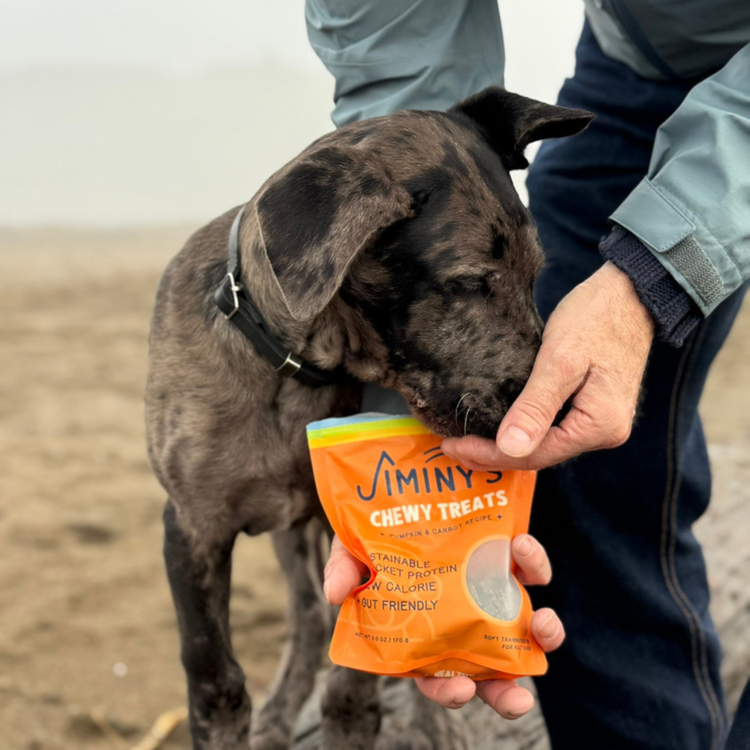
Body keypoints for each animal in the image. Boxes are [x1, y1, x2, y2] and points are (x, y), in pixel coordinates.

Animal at [145, 89, 592, 750]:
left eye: (535, 274)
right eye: (467, 283)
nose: (559, 411)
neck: (296, 374)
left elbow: (352, 680)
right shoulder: (192, 528)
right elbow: (215, 679)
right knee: (305, 617)